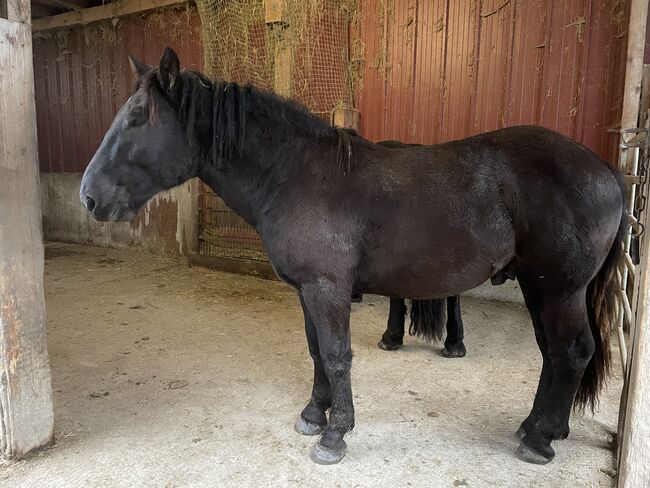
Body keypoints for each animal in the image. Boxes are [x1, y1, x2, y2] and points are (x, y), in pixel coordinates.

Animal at [79, 48, 624, 466]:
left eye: (136, 119)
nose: (88, 198)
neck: (296, 173)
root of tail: (606, 171)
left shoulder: (328, 288)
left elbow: (338, 355)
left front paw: (335, 435)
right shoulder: (306, 290)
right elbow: (317, 351)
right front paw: (312, 415)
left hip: (560, 289)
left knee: (572, 351)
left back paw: (540, 440)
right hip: (538, 287)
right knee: (553, 354)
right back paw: (535, 427)